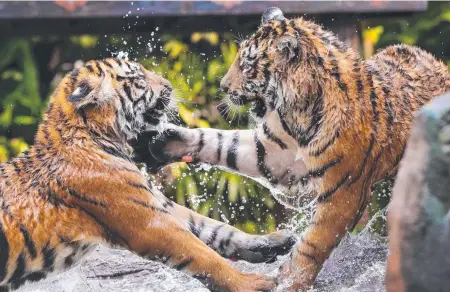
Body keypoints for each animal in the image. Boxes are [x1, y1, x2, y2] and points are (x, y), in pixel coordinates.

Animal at [0, 57, 298, 292]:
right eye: (137, 78)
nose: (168, 85)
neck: (97, 136)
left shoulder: (156, 203)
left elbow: (214, 228)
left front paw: (270, 242)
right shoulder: (149, 224)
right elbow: (203, 254)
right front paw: (251, 283)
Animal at [138, 6, 450, 292]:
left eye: (248, 65)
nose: (223, 87)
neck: (297, 113)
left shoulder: (343, 193)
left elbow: (313, 243)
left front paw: (288, 280)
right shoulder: (270, 152)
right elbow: (222, 143)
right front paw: (164, 143)